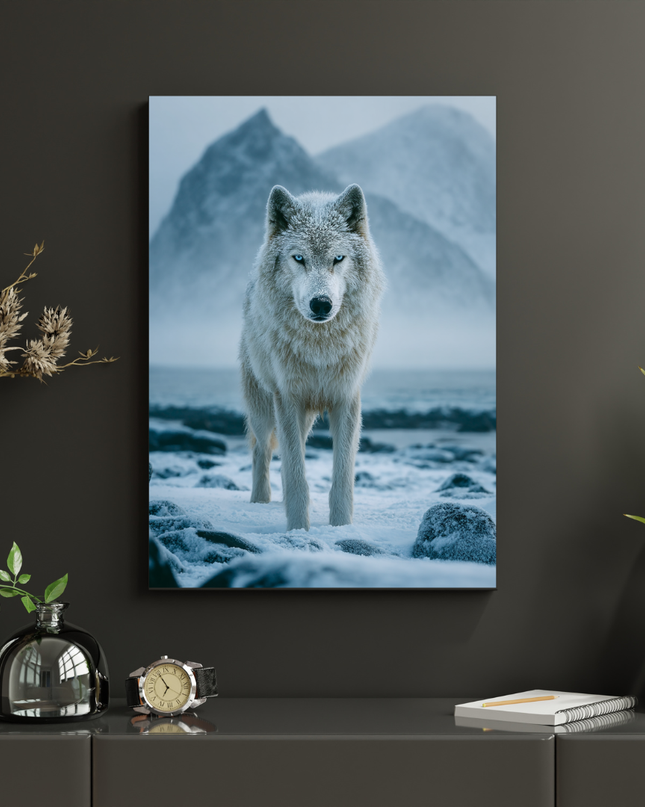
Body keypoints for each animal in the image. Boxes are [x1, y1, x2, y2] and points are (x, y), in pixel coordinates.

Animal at [239, 183, 385, 531]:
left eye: (338, 258)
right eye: (299, 258)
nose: (321, 303)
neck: (320, 348)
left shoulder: (346, 398)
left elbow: (342, 476)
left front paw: (340, 527)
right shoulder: (288, 399)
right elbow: (295, 475)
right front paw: (298, 530)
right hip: (264, 408)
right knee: (262, 450)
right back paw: (260, 500)